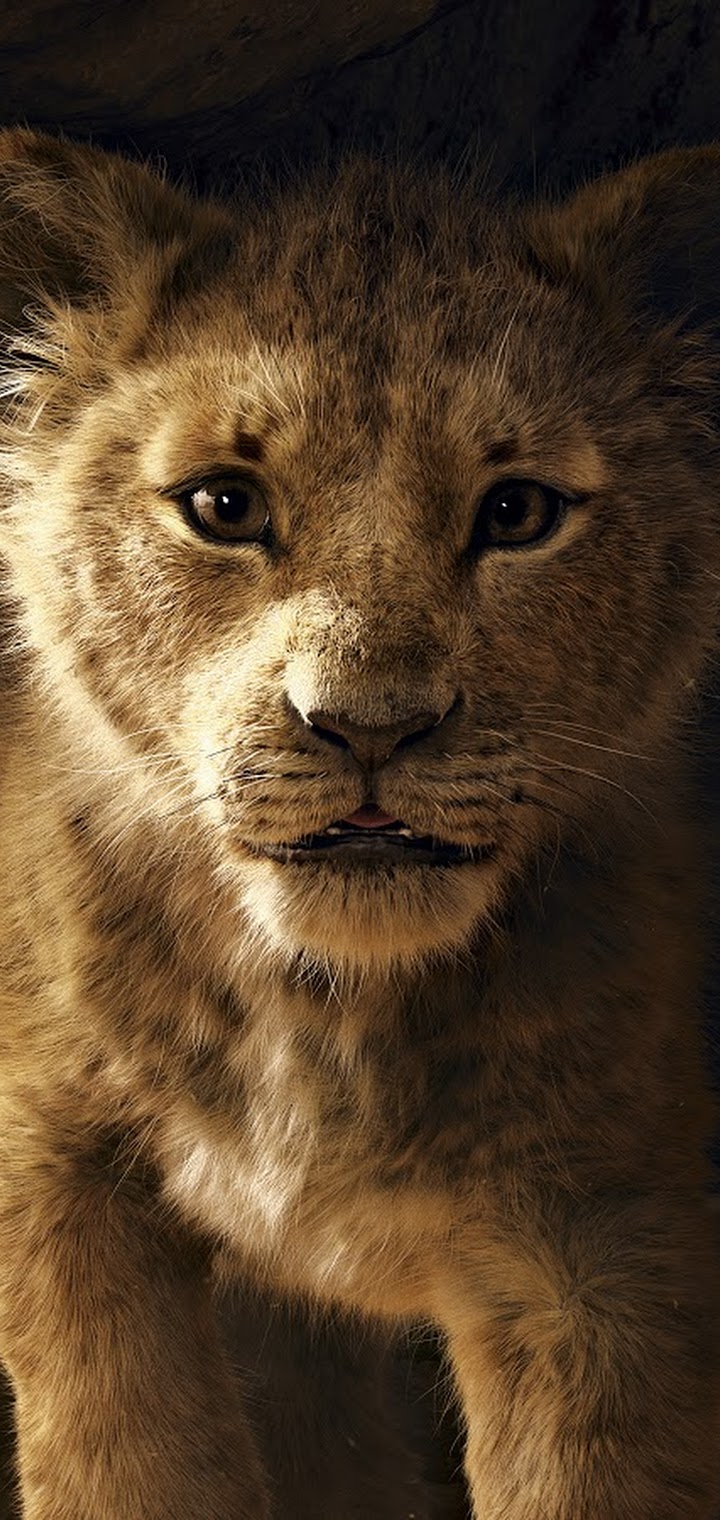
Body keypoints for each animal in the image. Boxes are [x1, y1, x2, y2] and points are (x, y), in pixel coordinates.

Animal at [0, 127, 719, 1518]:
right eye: (224, 506)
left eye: (517, 512)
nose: (370, 726)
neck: (325, 1012)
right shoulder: (56, 1163)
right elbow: (122, 1453)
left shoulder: (606, 1236)